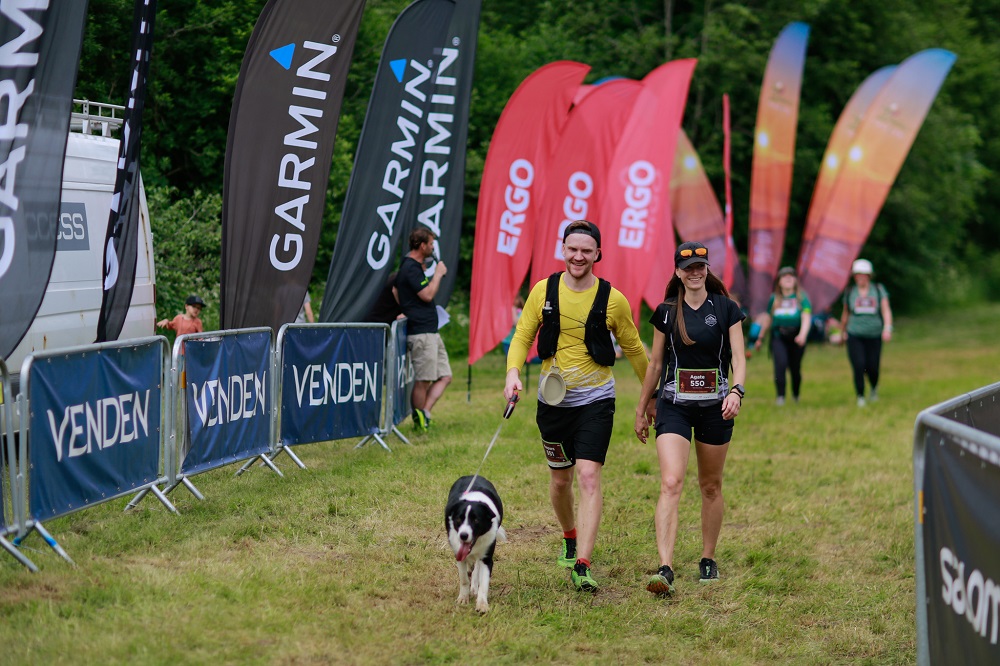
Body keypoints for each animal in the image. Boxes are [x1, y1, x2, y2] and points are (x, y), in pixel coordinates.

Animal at [445, 475, 506, 613]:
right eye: (458, 519)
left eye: (476, 520)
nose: (463, 535)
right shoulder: (459, 553)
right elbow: (463, 579)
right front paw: (463, 599)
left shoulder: (486, 557)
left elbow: (483, 583)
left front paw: (482, 605)